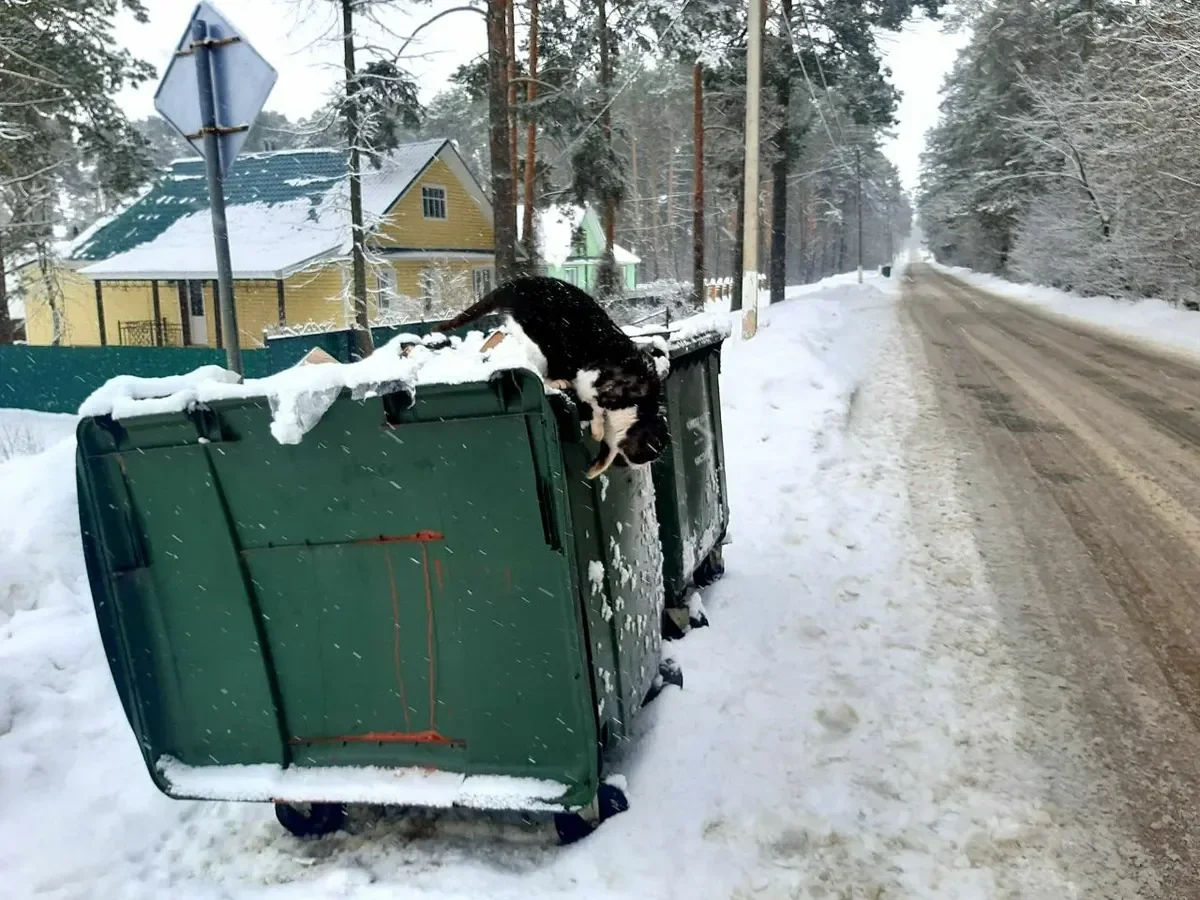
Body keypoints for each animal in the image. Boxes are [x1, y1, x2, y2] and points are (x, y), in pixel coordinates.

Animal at [436, 278, 672, 482]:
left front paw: (594, 468)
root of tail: (519, 282)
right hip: (539, 344)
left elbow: (607, 449)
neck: (639, 407)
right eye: (648, 453)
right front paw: (597, 430)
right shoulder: (590, 382)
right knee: (538, 370)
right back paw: (556, 382)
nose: (639, 467)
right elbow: (595, 408)